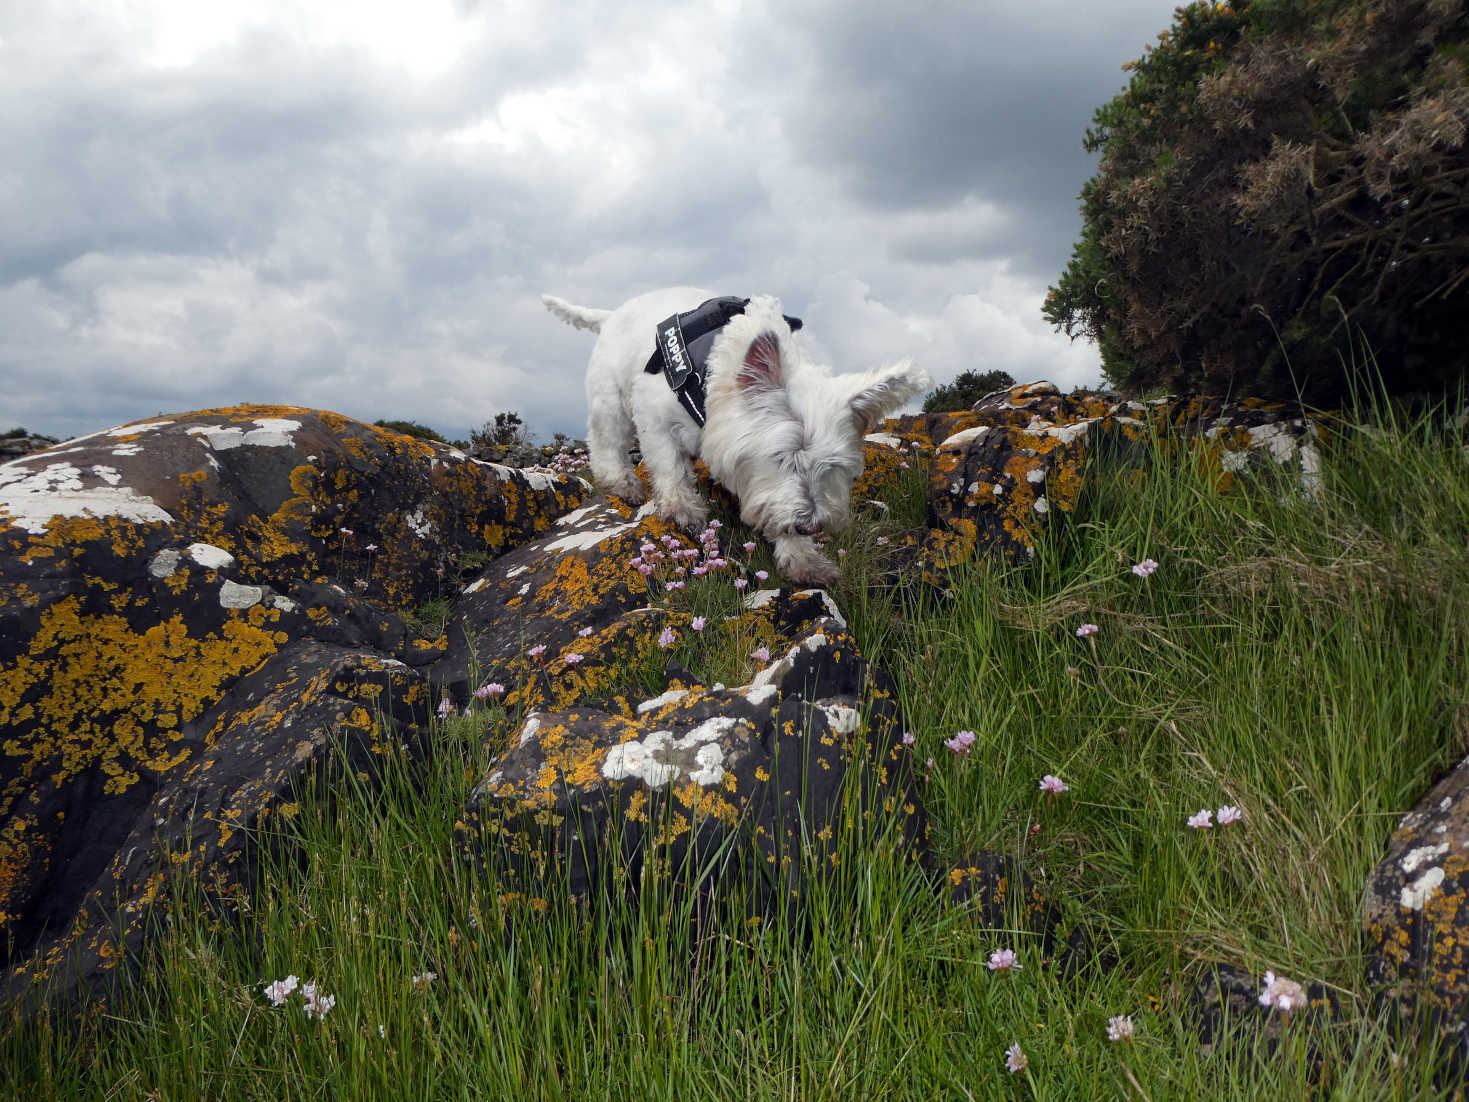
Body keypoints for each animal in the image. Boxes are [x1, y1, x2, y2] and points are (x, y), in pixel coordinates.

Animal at [540, 286, 928, 587]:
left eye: (832, 467)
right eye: (782, 457)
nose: (809, 526)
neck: (709, 376)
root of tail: (610, 315)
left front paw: (804, 560)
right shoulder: (654, 416)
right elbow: (668, 465)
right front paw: (683, 508)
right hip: (610, 400)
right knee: (605, 441)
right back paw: (622, 482)